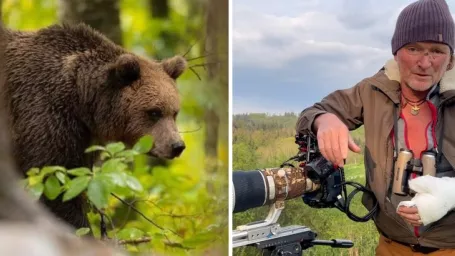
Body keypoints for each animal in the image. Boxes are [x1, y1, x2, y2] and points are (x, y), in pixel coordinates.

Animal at [0, 23, 189, 229]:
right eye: (154, 112)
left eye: (174, 112)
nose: (177, 145)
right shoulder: (43, 114)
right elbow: (54, 184)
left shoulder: (84, 138)